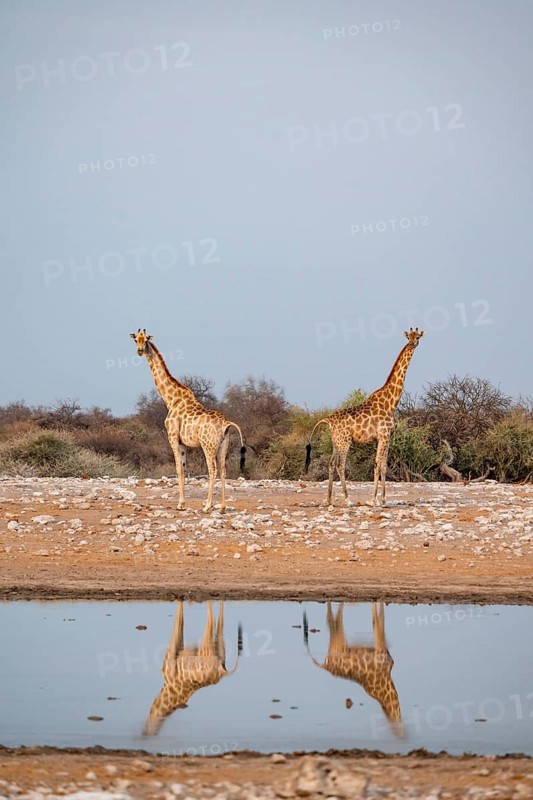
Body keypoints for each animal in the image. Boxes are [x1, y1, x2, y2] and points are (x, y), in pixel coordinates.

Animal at [130, 329, 246, 512]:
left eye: (146, 340)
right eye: (136, 340)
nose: (140, 350)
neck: (170, 399)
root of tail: (226, 424)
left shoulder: (172, 436)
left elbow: (178, 468)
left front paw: (180, 504)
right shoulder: (183, 442)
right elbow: (184, 468)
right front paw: (183, 503)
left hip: (208, 445)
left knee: (212, 470)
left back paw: (207, 505)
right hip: (223, 445)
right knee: (223, 470)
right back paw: (222, 507)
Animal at [143, 600, 243, 736]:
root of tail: (221, 672)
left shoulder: (172, 653)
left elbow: (178, 620)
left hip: (206, 648)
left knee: (211, 621)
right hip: (221, 651)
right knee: (220, 625)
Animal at [304, 602, 404, 737]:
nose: (403, 734)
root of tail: (327, 665)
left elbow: (376, 618)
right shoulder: (380, 650)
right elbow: (379, 620)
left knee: (332, 622)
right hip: (339, 645)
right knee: (334, 622)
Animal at [305, 327, 424, 506]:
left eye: (417, 336)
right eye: (409, 336)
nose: (412, 343)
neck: (392, 402)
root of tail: (328, 420)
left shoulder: (387, 437)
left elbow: (383, 466)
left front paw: (383, 499)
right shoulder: (383, 435)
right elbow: (377, 464)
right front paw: (374, 499)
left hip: (335, 442)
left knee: (331, 464)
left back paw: (329, 499)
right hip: (345, 441)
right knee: (340, 465)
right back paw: (348, 499)